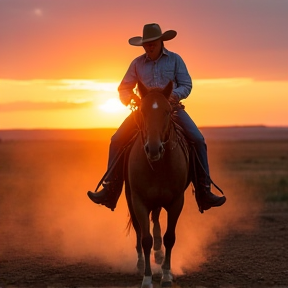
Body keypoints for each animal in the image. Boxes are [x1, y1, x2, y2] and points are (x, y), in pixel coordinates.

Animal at [125, 80, 190, 286]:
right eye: (142, 111)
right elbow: (145, 239)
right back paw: (139, 264)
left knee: (156, 222)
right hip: (131, 200)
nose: (154, 149)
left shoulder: (177, 201)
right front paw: (147, 278)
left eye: (167, 111)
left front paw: (166, 274)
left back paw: (160, 255)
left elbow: (170, 237)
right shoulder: (139, 201)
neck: (159, 165)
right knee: (139, 230)